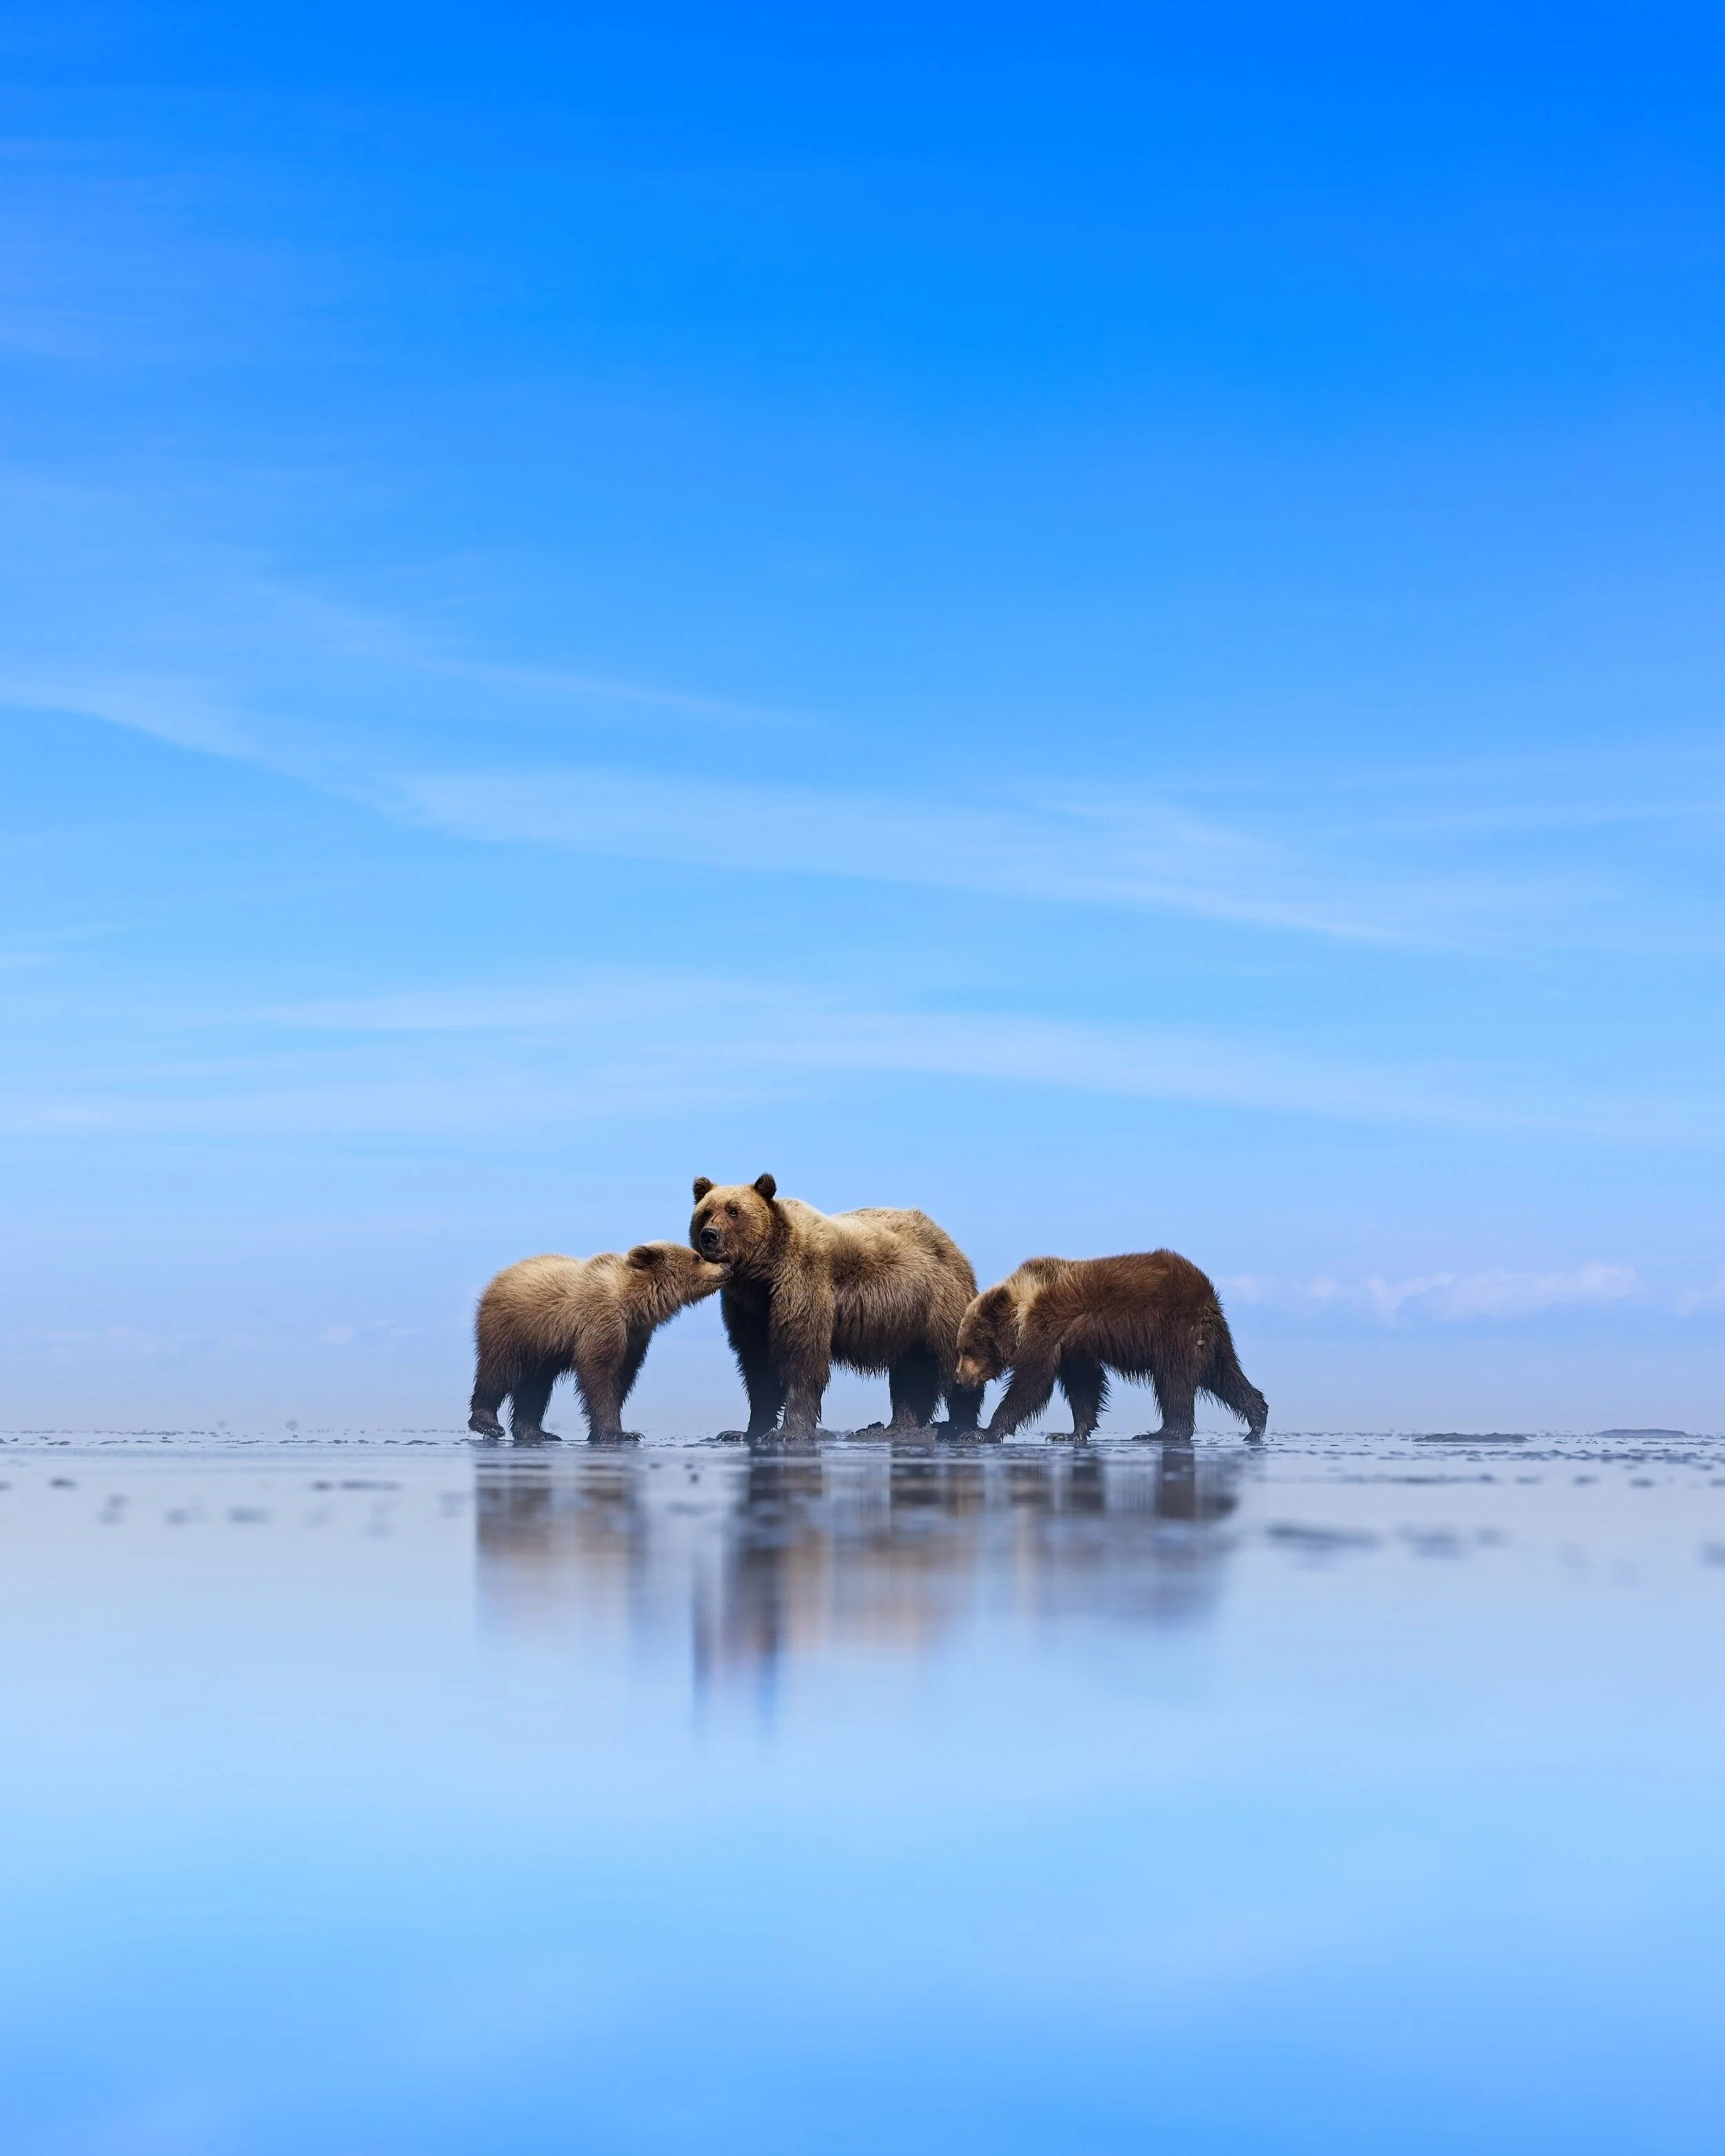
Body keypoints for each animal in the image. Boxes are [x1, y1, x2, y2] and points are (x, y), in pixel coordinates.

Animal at [467, 1243, 727, 1442]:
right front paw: (619, 1433)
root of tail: (499, 1276)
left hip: (543, 1348)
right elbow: (599, 1373)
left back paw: (537, 1433)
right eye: (697, 1257)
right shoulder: (602, 1320)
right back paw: (488, 1424)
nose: (725, 1266)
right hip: (514, 1327)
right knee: (499, 1372)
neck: (633, 1303)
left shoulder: (634, 1337)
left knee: (535, 1387)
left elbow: (622, 1377)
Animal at [689, 1174, 985, 1439]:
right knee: (911, 1373)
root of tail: (950, 1242)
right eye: (706, 1212)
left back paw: (961, 1425)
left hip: (939, 1300)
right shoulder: (749, 1310)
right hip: (907, 1322)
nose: (709, 1236)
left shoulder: (804, 1284)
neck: (762, 1274)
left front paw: (789, 1431)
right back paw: (899, 1428)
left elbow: (802, 1356)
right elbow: (757, 1365)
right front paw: (743, 1432)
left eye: (734, 1211)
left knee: (952, 1359)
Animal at [954, 1250, 1268, 1443]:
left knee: (1174, 1382)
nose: (959, 1379)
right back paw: (1257, 1421)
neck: (1022, 1311)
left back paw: (1161, 1433)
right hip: (1209, 1339)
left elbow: (1031, 1384)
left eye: (967, 1348)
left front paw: (982, 1432)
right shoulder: (1073, 1348)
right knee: (1225, 1376)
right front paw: (1069, 1433)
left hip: (1174, 1331)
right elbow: (1084, 1386)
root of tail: (1207, 1292)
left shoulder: (1045, 1330)